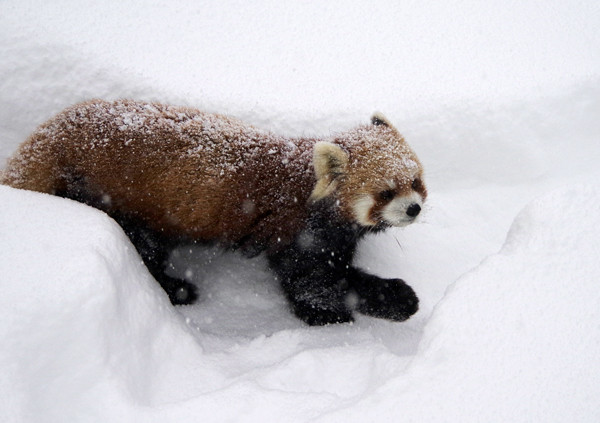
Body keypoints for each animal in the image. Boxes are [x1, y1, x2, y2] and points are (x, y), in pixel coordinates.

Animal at [3, 101, 426, 326]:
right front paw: (334, 315)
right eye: (386, 192)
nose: (414, 208)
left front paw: (396, 296)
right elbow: (311, 282)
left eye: (416, 181)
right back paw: (177, 288)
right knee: (146, 253)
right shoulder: (300, 234)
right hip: (110, 200)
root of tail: (38, 144)